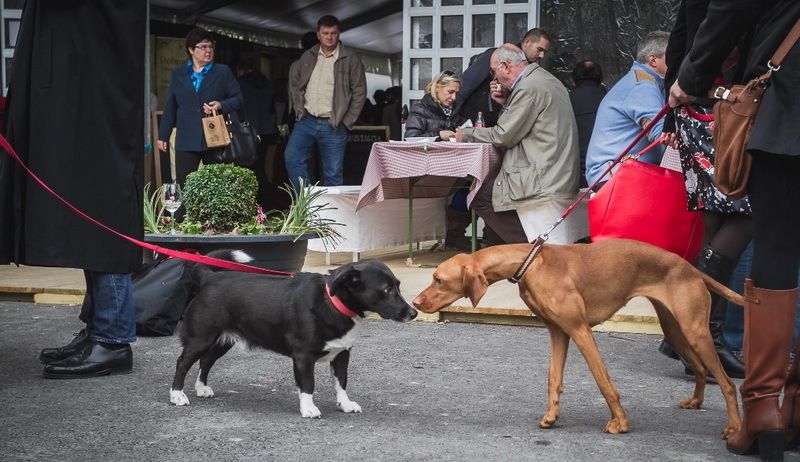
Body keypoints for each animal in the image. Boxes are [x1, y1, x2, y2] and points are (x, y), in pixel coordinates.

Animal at [169, 253, 418, 418]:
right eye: (387, 290)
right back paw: (177, 395)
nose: (413, 313)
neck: (333, 303)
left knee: (206, 361)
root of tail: (210, 278)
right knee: (182, 363)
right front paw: (308, 408)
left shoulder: (342, 354)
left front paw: (344, 404)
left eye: (397, 286)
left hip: (222, 341)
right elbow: (308, 385)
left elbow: (341, 383)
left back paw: (201, 388)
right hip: (201, 339)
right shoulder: (303, 358)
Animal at [412, 240, 744, 438]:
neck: (529, 263)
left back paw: (735, 427)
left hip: (695, 331)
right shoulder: (558, 332)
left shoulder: (580, 329)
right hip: (675, 329)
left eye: (438, 279)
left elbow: (603, 381)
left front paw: (620, 423)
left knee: (727, 383)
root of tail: (691, 267)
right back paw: (696, 401)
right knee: (700, 368)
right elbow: (553, 378)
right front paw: (551, 416)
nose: (414, 302)